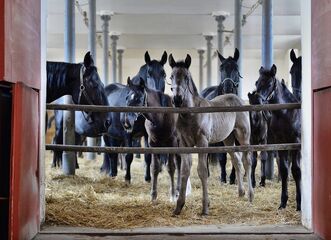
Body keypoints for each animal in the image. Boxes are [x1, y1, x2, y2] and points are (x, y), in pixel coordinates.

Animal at [101, 50, 169, 182]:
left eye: (164, 74)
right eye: (149, 73)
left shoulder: (147, 135)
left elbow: (148, 156)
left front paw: (148, 178)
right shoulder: (128, 134)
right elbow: (129, 156)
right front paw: (127, 178)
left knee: (114, 153)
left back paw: (114, 173)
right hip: (106, 134)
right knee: (111, 153)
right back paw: (111, 174)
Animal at [200, 48, 241, 184]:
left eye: (236, 68)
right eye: (221, 68)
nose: (228, 87)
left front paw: (233, 178)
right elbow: (222, 157)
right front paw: (223, 178)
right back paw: (207, 173)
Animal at [255, 64, 302, 211]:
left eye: (270, 83)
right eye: (257, 82)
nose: (257, 101)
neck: (286, 114)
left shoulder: (295, 143)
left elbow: (296, 170)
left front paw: (299, 204)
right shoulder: (281, 143)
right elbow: (284, 170)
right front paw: (283, 202)